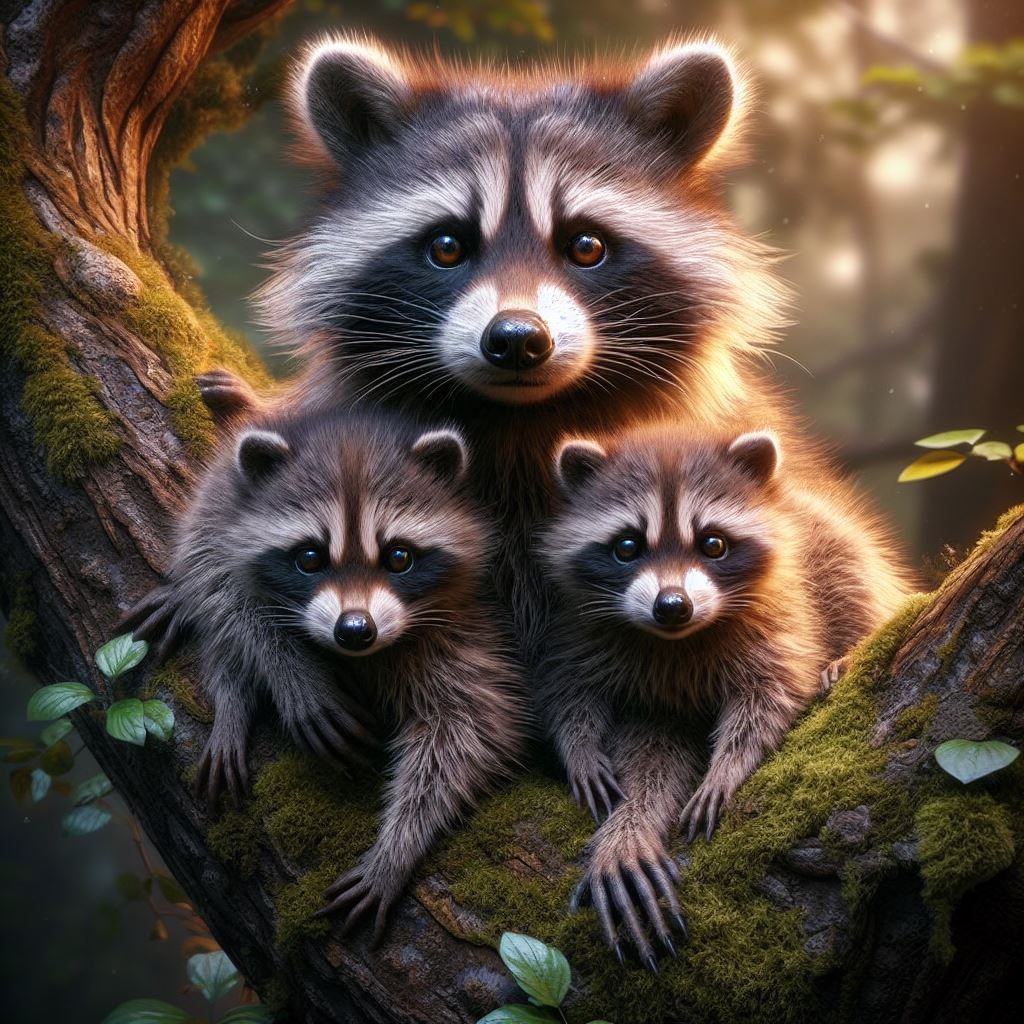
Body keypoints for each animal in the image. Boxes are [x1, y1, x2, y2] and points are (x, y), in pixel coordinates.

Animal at [123, 410, 525, 939]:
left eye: (399, 557)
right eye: (310, 558)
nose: (355, 630)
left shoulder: (461, 629)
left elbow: (466, 726)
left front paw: (397, 847)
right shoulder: (229, 506)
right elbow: (220, 573)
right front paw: (291, 671)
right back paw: (233, 700)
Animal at [536, 424, 914, 966]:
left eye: (712, 543)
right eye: (627, 547)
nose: (672, 605)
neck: (679, 639)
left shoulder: (782, 617)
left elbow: (771, 695)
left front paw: (729, 765)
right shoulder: (585, 631)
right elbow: (577, 698)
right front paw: (595, 770)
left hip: (832, 544)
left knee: (853, 575)